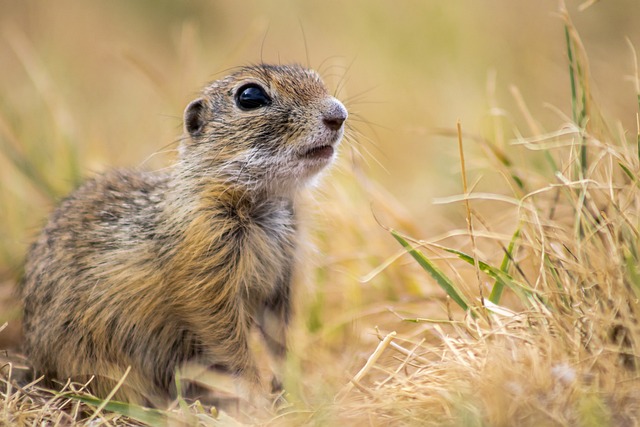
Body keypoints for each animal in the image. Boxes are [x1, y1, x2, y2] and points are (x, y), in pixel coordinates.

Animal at [20, 64, 348, 408]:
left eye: (317, 79)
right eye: (250, 96)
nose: (338, 115)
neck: (263, 200)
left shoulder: (282, 279)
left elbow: (279, 338)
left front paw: (294, 390)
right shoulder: (205, 274)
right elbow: (228, 340)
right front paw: (259, 396)